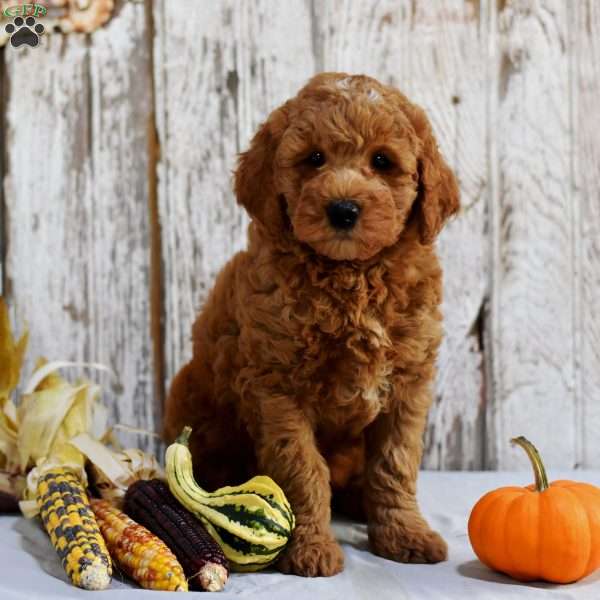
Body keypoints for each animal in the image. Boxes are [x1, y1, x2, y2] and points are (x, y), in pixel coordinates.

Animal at [164, 72, 460, 580]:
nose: (343, 210)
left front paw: (405, 534)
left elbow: (395, 464)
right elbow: (302, 470)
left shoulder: (408, 385)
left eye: (382, 161)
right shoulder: (279, 389)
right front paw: (310, 549)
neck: (351, 276)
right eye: (314, 159)